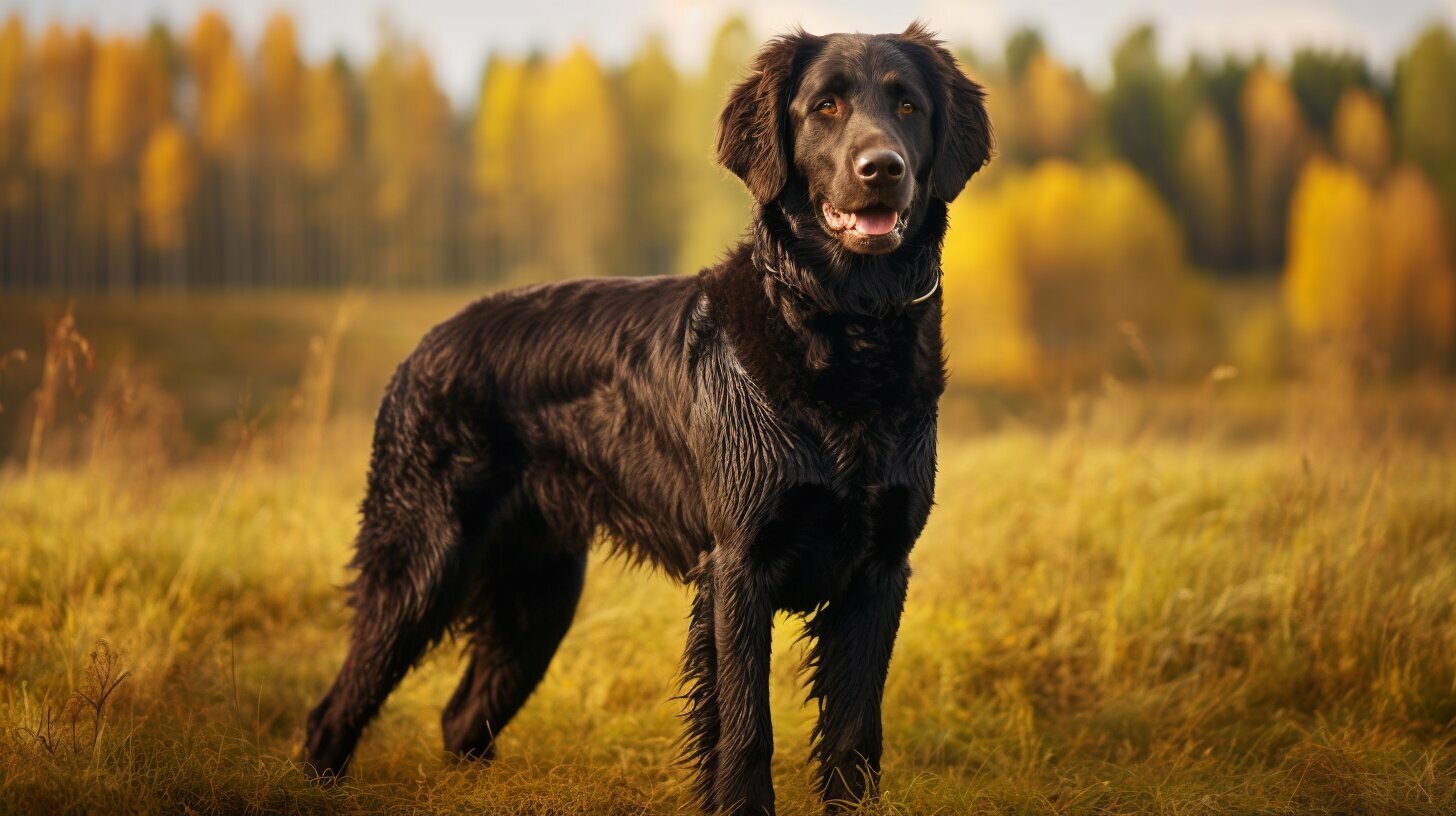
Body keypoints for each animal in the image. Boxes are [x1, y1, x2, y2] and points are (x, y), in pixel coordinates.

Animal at [304, 22, 990, 810]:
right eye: (826, 107)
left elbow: (853, 737)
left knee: (461, 714)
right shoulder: (739, 563)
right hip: (421, 562)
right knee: (336, 707)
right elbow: (747, 726)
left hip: (539, 593)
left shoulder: (880, 568)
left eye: (908, 106)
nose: (882, 168)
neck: (846, 334)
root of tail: (422, 346)